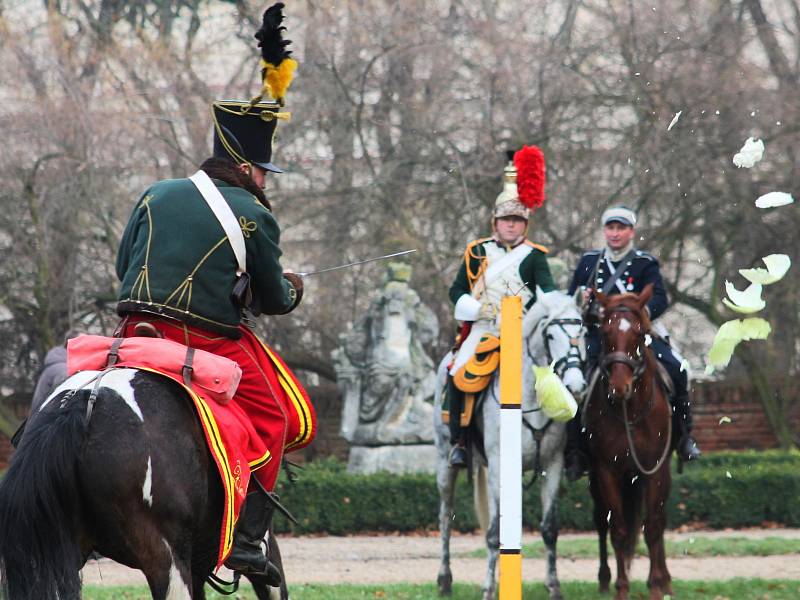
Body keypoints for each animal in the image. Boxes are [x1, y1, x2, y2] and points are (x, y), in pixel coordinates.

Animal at [434, 288, 584, 596]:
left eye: (583, 330)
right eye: (551, 335)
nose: (576, 385)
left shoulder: (552, 465)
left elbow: (549, 528)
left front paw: (554, 586)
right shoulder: (498, 466)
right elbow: (493, 532)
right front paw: (488, 589)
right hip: (445, 463)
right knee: (445, 517)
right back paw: (444, 579)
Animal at [584, 284, 672, 600]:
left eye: (638, 332)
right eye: (605, 331)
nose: (619, 387)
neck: (630, 410)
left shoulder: (654, 469)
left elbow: (653, 527)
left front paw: (656, 585)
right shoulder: (607, 471)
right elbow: (619, 531)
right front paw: (621, 588)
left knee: (658, 520)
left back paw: (664, 580)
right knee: (602, 521)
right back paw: (604, 579)